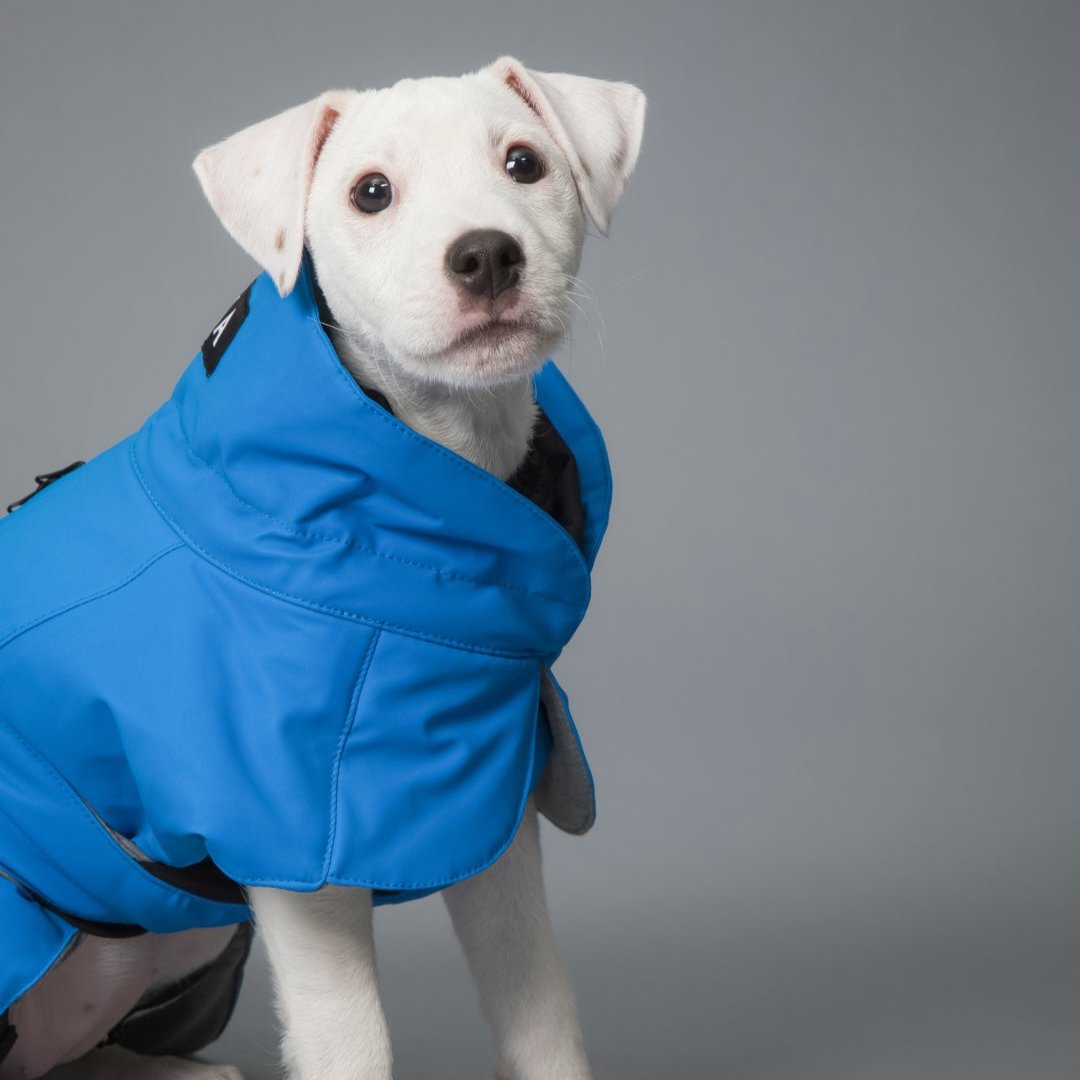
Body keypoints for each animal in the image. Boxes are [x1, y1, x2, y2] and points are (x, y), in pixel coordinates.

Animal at [0, 56, 639, 1080]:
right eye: (369, 192)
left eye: (525, 162)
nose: (487, 256)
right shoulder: (300, 854)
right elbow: (353, 1040)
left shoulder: (484, 805)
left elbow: (540, 1011)